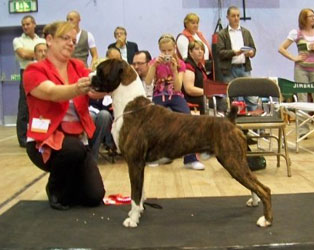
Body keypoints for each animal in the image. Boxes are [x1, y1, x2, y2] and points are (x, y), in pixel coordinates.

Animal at [91, 58, 272, 229]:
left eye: (100, 70)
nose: (89, 76)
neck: (129, 106)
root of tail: (229, 121)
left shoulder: (134, 162)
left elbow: (135, 194)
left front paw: (133, 219)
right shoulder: (138, 164)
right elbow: (140, 192)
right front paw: (138, 212)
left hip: (232, 161)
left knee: (265, 189)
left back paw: (266, 220)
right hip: (236, 162)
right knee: (254, 183)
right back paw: (254, 201)